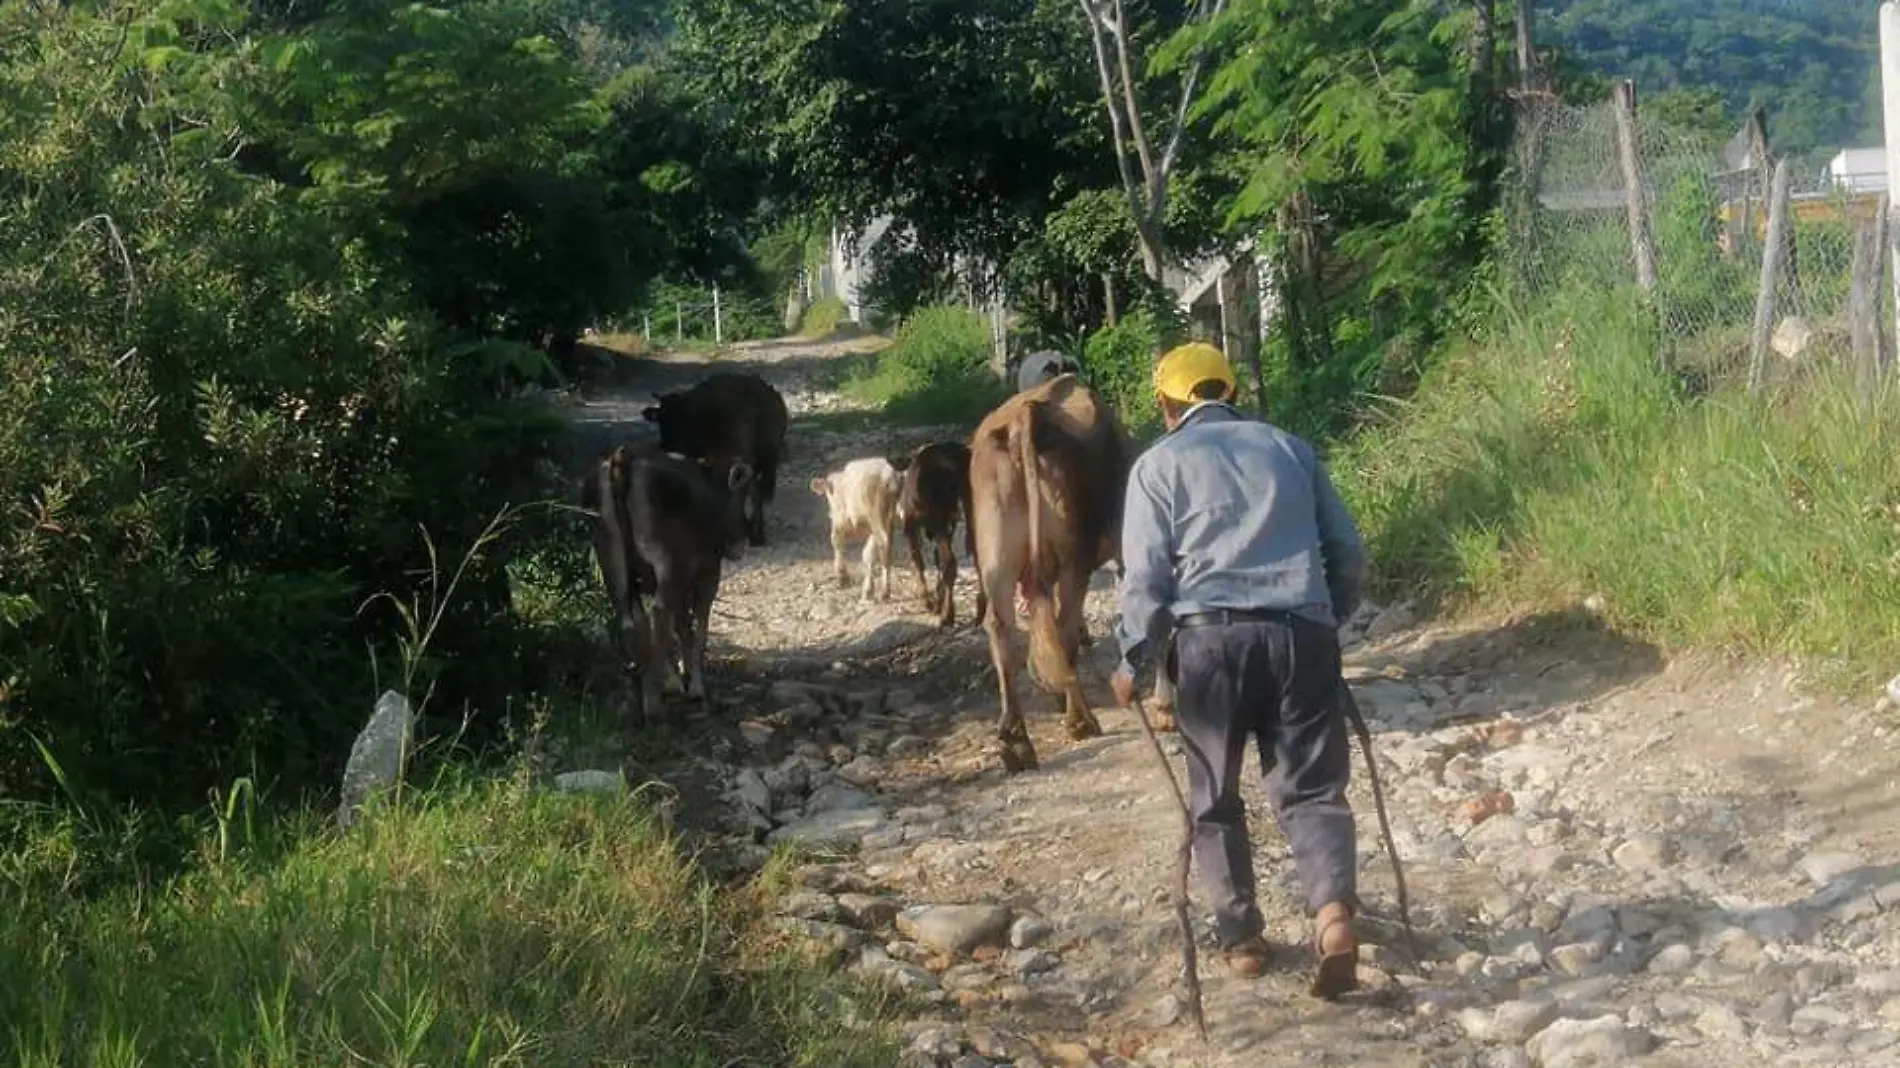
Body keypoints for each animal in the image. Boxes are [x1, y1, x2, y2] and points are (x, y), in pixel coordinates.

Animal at [581, 440, 752, 722]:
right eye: (747, 494)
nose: (741, 545)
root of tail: (625, 458)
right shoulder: (707, 574)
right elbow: (696, 629)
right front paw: (694, 687)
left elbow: (681, 627)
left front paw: (677, 678)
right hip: (668, 564)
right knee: (659, 616)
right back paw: (653, 706)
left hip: (610, 559)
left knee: (632, 621)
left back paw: (636, 693)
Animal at [638, 370, 786, 543]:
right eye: (662, 417)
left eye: (666, 420)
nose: (664, 444)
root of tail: (761, 396)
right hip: (767, 457)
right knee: (756, 489)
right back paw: (756, 532)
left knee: (745, 487)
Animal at [813, 452, 900, 592]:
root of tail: (889, 474)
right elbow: (867, 553)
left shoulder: (840, 522)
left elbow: (837, 542)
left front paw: (842, 578)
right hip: (888, 520)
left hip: (876, 516)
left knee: (884, 546)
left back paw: (884, 592)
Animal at [972, 370, 1132, 767]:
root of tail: (1027, 414)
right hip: (1072, 558)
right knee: (1063, 626)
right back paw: (1080, 720)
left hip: (997, 552)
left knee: (1001, 625)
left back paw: (1016, 742)